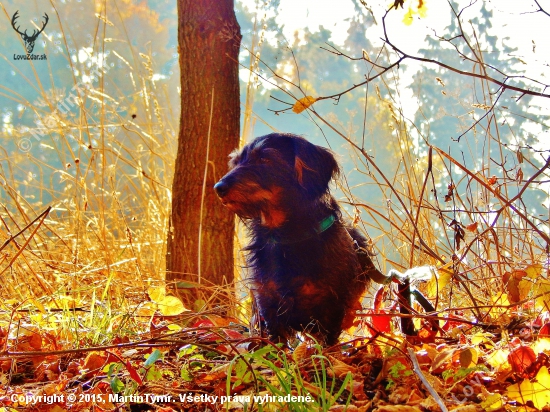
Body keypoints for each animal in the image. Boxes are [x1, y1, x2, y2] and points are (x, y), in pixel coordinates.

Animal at [213, 133, 386, 344]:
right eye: (236, 162)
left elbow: (327, 345)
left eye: (265, 159)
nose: (218, 188)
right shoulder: (269, 305)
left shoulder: (331, 308)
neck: (286, 238)